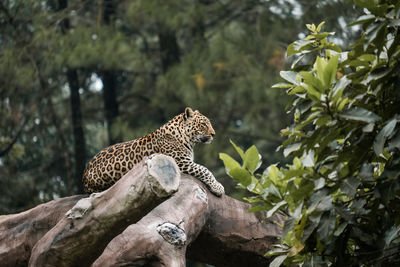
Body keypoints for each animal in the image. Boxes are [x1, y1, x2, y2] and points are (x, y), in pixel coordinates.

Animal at [82, 108, 225, 198]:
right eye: (203, 124)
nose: (214, 134)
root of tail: (84, 175)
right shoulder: (181, 163)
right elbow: (204, 170)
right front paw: (218, 187)